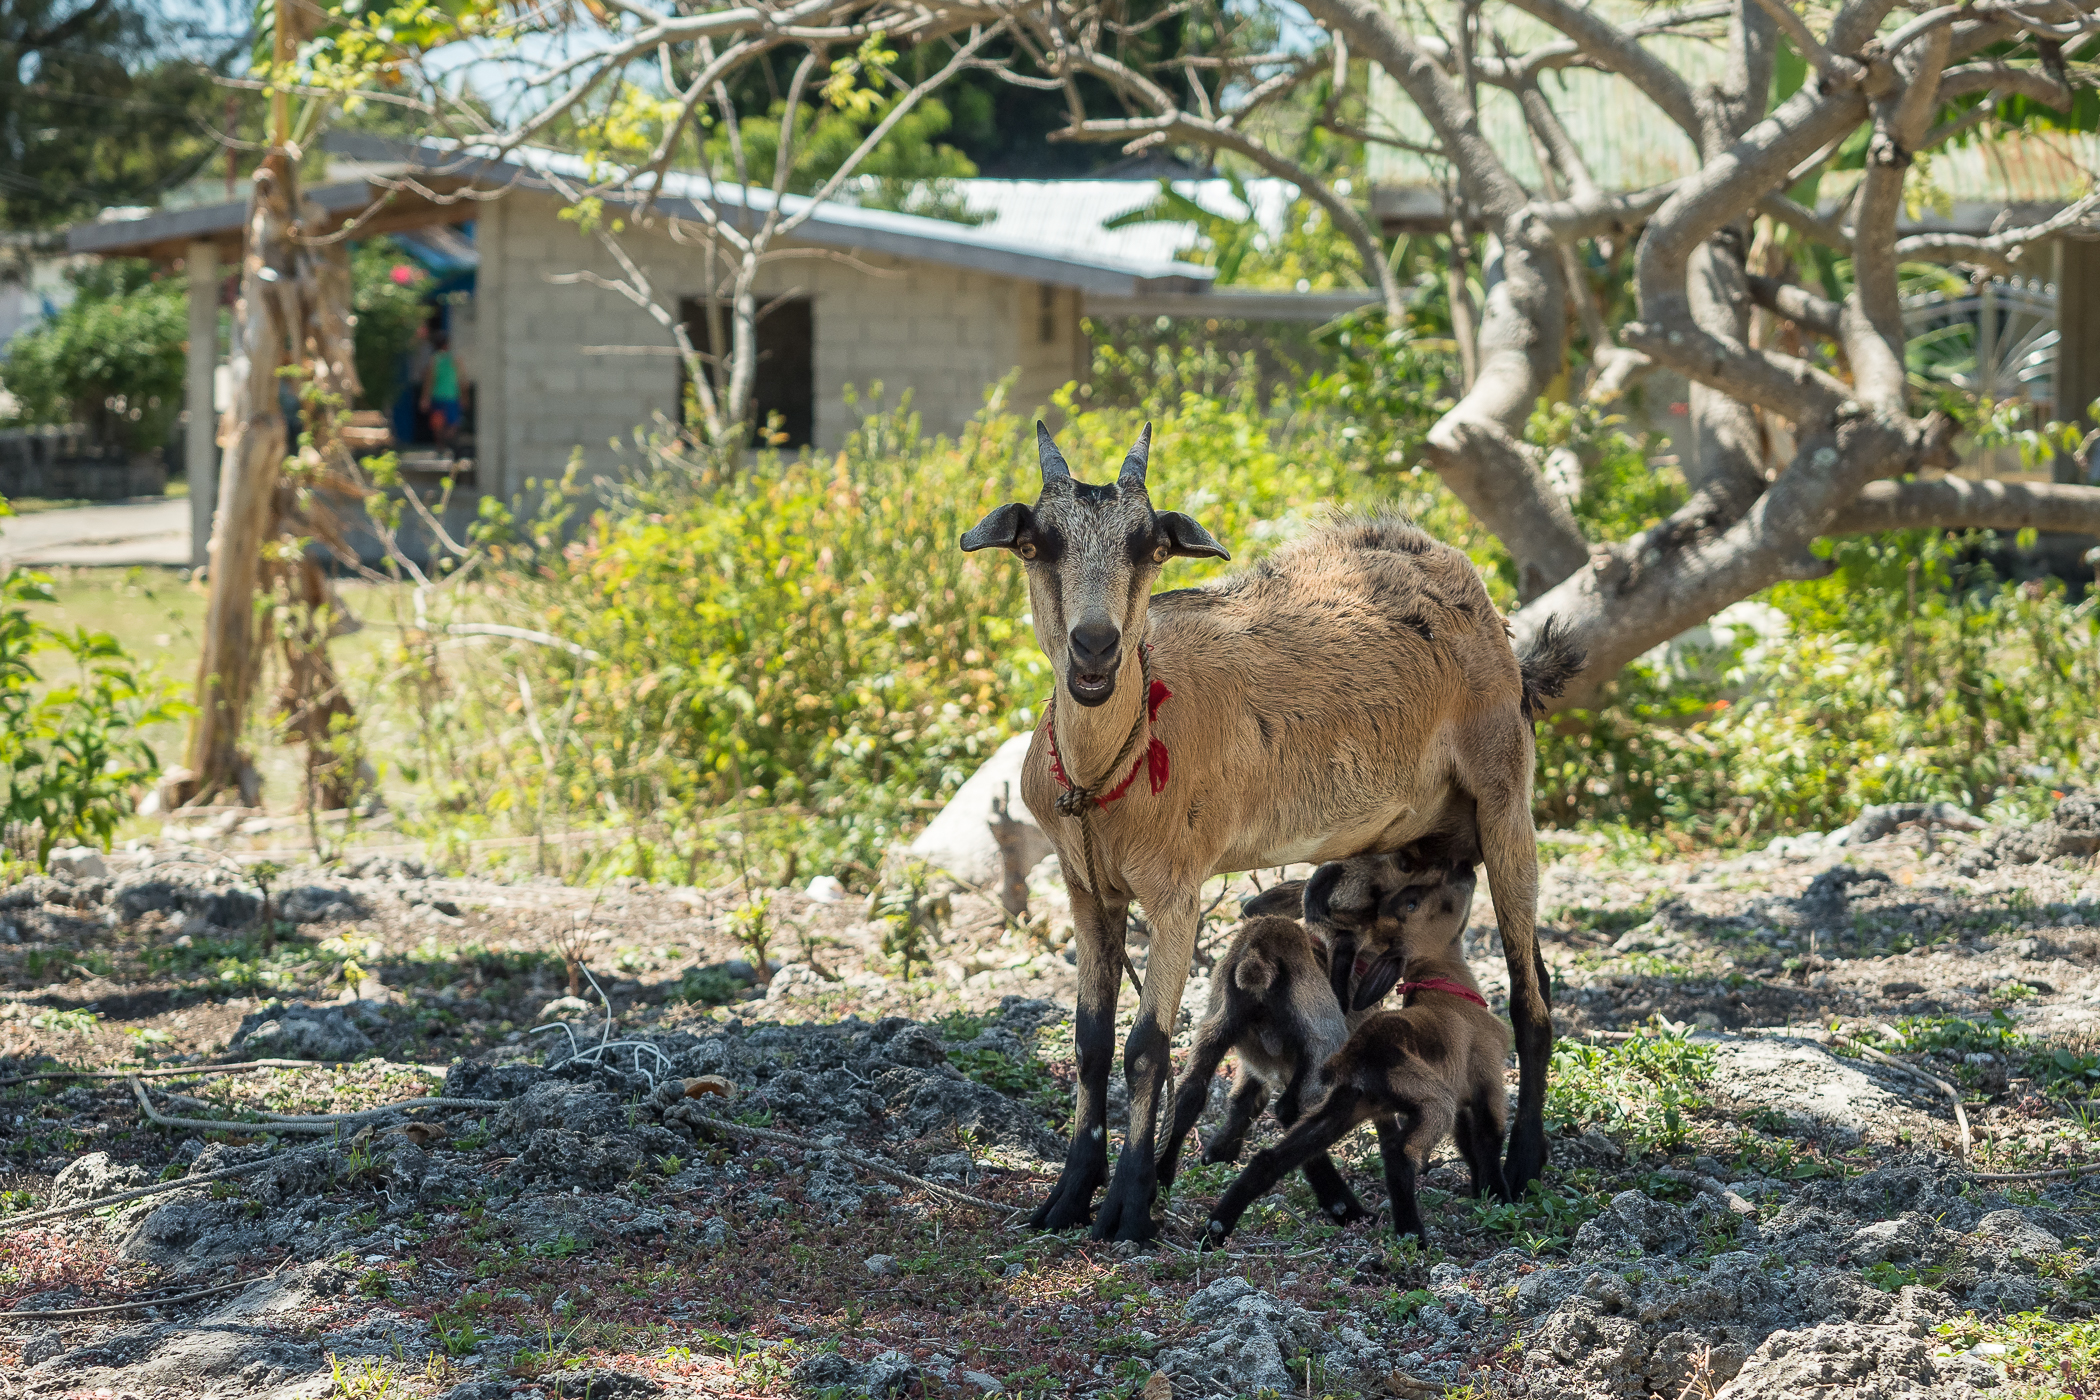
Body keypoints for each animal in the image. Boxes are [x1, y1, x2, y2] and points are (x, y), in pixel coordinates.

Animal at [1201, 864, 1511, 1250]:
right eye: (1413, 901)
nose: (1465, 872)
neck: (1450, 991)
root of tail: (1354, 1056)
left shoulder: (1464, 1094)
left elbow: (1469, 1144)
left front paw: (1482, 1193)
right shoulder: (1487, 1077)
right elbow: (1490, 1138)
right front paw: (1500, 1197)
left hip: (1346, 1106)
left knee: (1272, 1157)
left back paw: (1216, 1226)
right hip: (1430, 1101)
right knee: (1400, 1155)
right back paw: (1412, 1235)